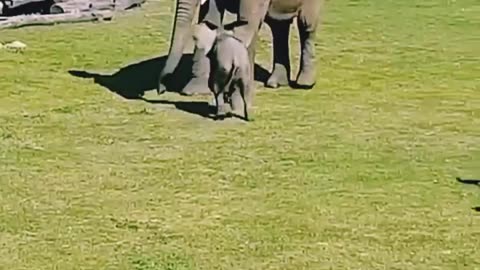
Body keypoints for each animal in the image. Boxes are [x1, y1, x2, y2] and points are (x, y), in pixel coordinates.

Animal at [158, 0, 322, 96]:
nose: (161, 90)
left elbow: (247, 22)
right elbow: (209, 19)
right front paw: (194, 91)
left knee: (306, 25)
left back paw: (304, 84)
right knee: (278, 25)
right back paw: (275, 83)